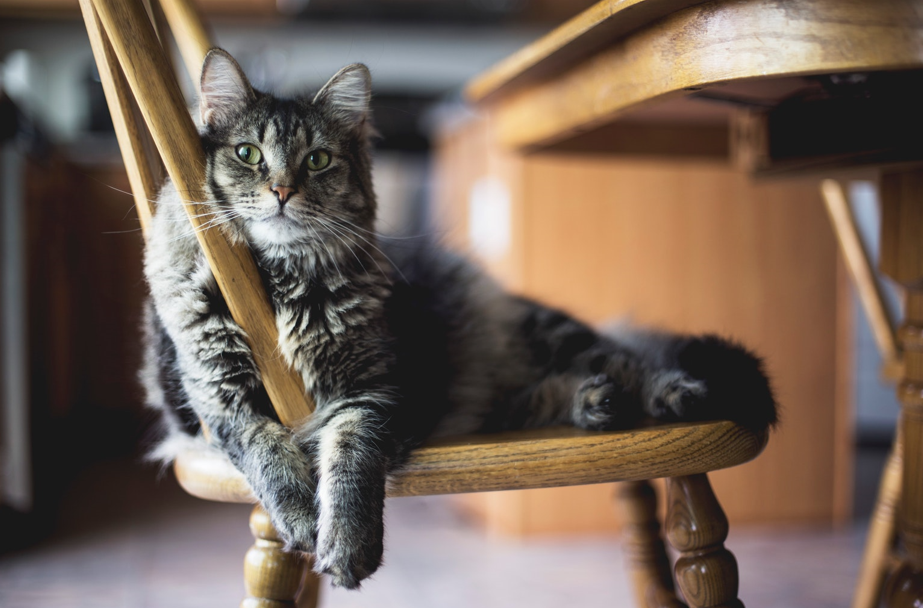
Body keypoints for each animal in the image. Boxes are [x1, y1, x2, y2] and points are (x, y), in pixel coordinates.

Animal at [143, 47, 780, 588]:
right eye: (247, 153)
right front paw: (302, 518)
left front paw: (346, 544)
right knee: (547, 392)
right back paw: (594, 403)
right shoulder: (218, 398)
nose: (280, 191)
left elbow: (349, 464)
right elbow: (266, 452)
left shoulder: (373, 392)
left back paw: (671, 394)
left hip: (553, 338)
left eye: (318, 160)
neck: (279, 283)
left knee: (630, 360)